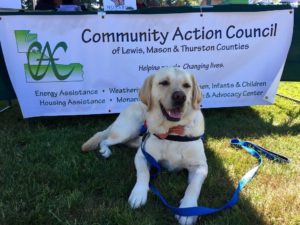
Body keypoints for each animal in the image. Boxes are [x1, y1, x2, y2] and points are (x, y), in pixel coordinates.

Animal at [82, 67, 209, 225]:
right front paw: (139, 194)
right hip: (127, 130)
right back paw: (105, 151)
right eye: (164, 82)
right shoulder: (142, 156)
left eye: (187, 85)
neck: (172, 131)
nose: (180, 96)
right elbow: (143, 174)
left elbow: (194, 186)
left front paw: (188, 208)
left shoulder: (201, 166)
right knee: (105, 139)